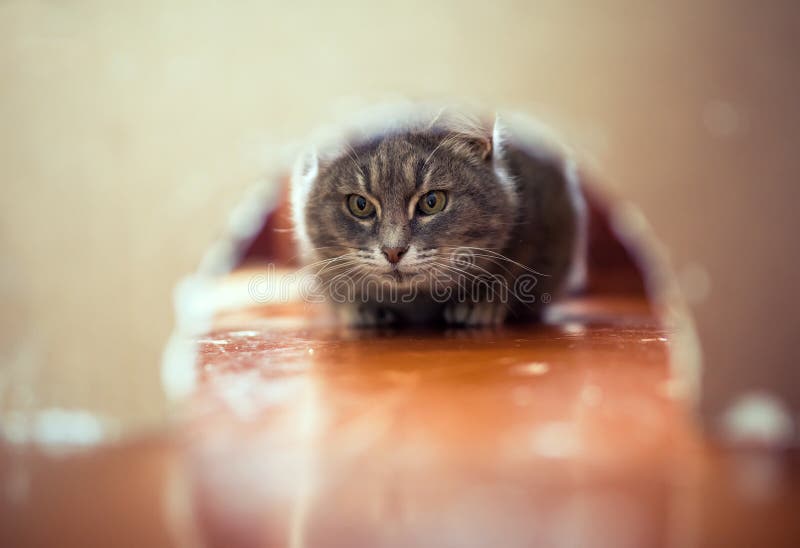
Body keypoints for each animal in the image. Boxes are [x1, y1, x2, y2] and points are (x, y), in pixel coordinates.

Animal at [292, 106, 588, 326]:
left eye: (432, 201)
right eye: (360, 205)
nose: (393, 251)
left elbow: (511, 270)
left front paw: (480, 302)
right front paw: (360, 308)